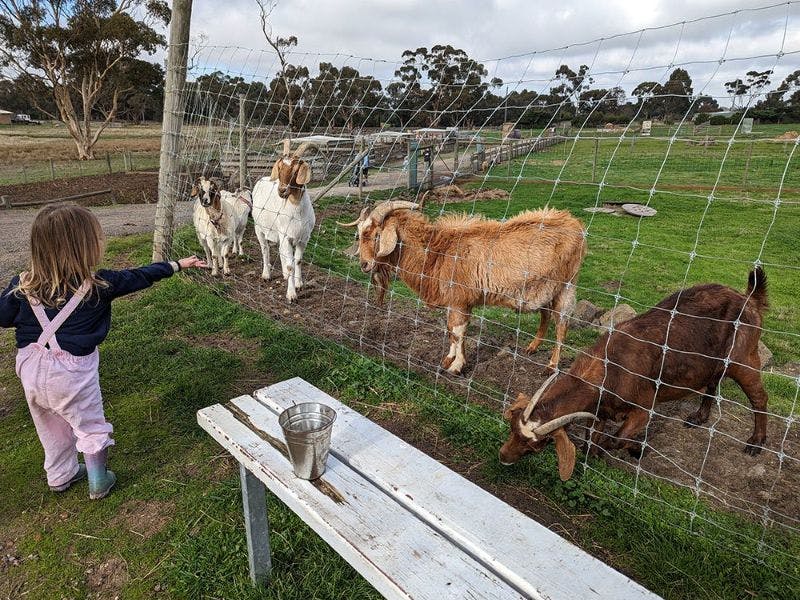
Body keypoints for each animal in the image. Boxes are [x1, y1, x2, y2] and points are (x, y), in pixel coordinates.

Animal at [252, 140, 314, 300]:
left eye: (296, 169)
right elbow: (290, 265)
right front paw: (291, 294)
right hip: (259, 228)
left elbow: (297, 261)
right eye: (279, 167)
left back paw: (285, 276)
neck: (297, 212)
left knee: (281, 251)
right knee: (265, 249)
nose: (281, 190)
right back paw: (266, 274)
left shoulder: (303, 238)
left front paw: (299, 284)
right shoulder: (286, 235)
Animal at [338, 199, 588, 372]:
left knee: (561, 323)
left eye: (377, 235)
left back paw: (552, 366)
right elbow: (450, 330)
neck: (437, 253)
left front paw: (456, 366)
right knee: (546, 314)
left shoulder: (460, 301)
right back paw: (532, 347)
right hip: (544, 289)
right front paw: (448, 359)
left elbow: (457, 331)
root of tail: (575, 223)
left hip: (567, 285)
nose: (364, 264)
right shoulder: (453, 302)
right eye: (359, 234)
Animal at [500, 270, 768, 480]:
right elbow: (590, 441)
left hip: (744, 359)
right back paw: (699, 417)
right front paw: (599, 453)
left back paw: (756, 442)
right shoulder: (600, 411)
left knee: (759, 397)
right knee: (713, 383)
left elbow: (615, 439)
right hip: (714, 364)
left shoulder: (643, 408)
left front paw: (636, 450)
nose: (503, 457)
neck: (610, 367)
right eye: (512, 428)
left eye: (537, 444)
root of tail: (749, 298)